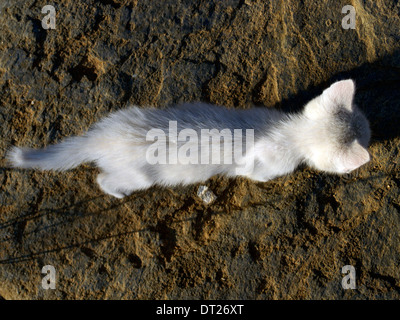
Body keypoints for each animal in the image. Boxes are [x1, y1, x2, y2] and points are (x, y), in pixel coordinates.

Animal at [6, 79, 370, 198]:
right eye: (367, 133)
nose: (371, 126)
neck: (288, 131)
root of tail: (100, 138)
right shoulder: (263, 166)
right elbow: (252, 173)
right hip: (139, 176)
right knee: (102, 180)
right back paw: (118, 193)